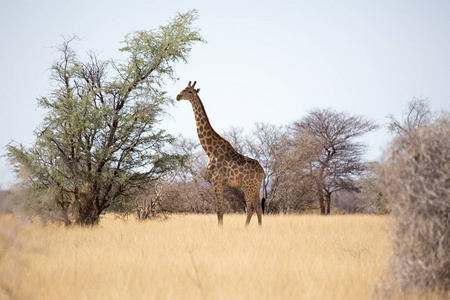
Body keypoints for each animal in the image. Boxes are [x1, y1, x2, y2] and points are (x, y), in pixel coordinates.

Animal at [178, 81, 266, 226]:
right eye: (183, 89)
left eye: (189, 91)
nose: (178, 96)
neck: (210, 151)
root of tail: (263, 172)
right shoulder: (222, 182)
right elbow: (221, 210)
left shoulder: (216, 179)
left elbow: (219, 210)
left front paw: (220, 229)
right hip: (256, 187)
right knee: (258, 209)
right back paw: (259, 229)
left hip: (248, 186)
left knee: (250, 208)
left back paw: (245, 228)